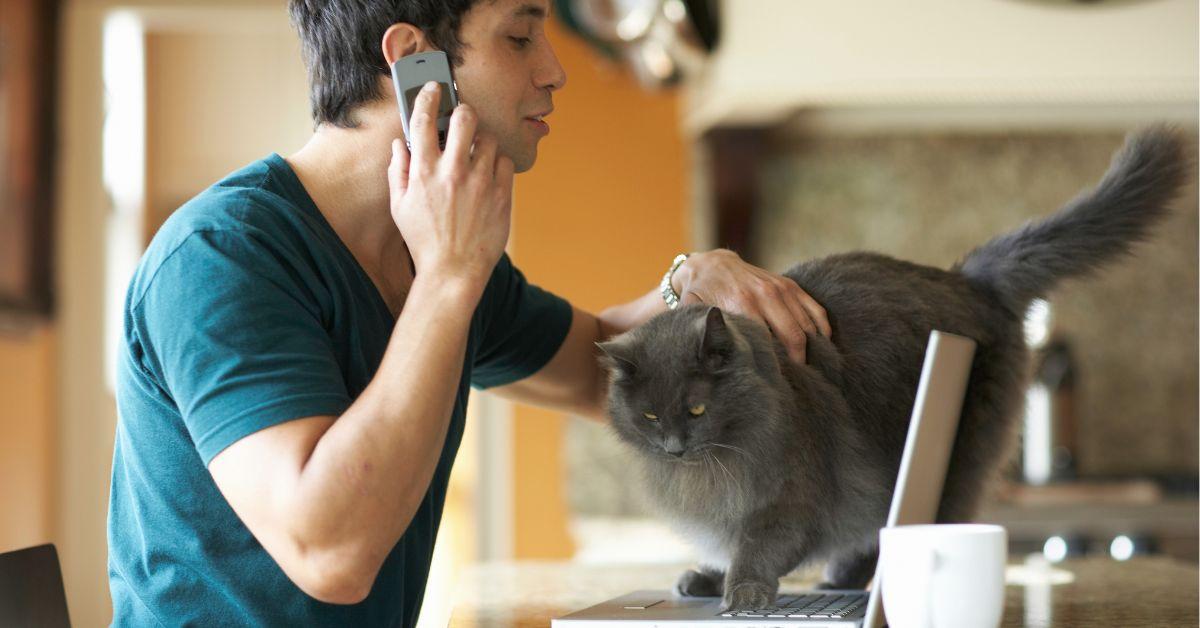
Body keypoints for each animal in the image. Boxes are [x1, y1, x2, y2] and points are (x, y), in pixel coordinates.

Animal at [597, 125, 1190, 612]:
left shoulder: (791, 494)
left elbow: (759, 547)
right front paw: (705, 577)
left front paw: (742, 593)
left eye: (697, 409)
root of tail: (966, 279)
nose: (674, 447)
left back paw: (845, 580)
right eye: (650, 417)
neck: (712, 463)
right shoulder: (730, 504)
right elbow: (726, 542)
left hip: (956, 455)